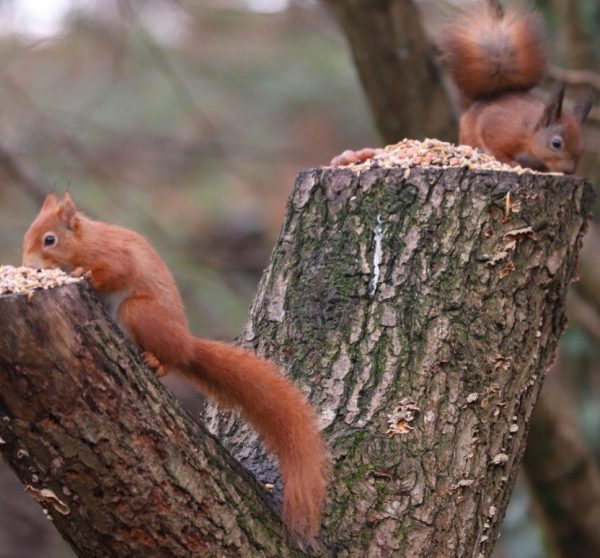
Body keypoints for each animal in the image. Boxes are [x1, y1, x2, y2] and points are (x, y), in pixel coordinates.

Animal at [23, 194, 330, 544]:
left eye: (50, 239)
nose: (28, 265)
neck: (86, 240)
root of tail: (185, 345)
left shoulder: (114, 255)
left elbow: (117, 271)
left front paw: (81, 273)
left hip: (139, 313)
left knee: (165, 356)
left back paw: (156, 361)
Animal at [438, 0, 592, 174]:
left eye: (583, 147)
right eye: (556, 144)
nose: (569, 171)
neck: (529, 133)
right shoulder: (500, 129)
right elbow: (496, 147)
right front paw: (510, 162)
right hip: (468, 135)